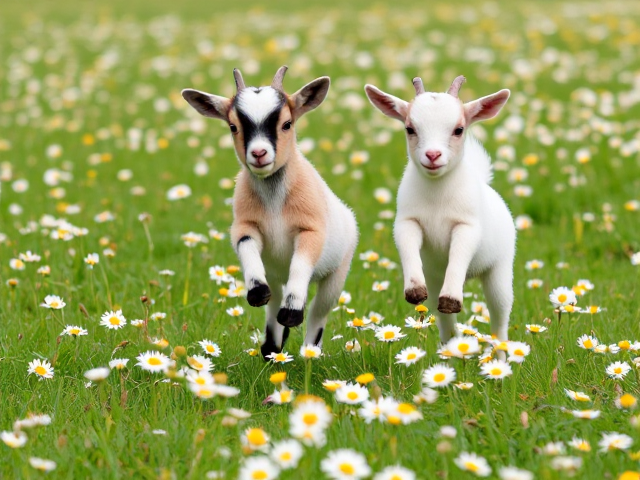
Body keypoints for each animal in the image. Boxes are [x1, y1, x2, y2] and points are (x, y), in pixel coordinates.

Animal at [182, 66, 358, 358]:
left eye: (287, 124)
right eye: (233, 126)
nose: (259, 153)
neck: (275, 204)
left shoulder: (311, 230)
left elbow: (301, 264)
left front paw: (292, 313)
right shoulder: (245, 225)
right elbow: (246, 246)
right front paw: (256, 293)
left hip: (337, 274)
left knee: (318, 311)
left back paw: (308, 349)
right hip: (275, 273)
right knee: (273, 302)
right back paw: (271, 348)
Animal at [364, 76, 515, 344]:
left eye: (458, 129)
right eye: (410, 129)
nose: (432, 155)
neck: (437, 196)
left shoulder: (467, 226)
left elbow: (459, 254)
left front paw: (452, 299)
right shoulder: (407, 221)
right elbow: (407, 246)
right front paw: (414, 290)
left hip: (500, 270)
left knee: (499, 317)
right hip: (435, 278)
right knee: (446, 324)